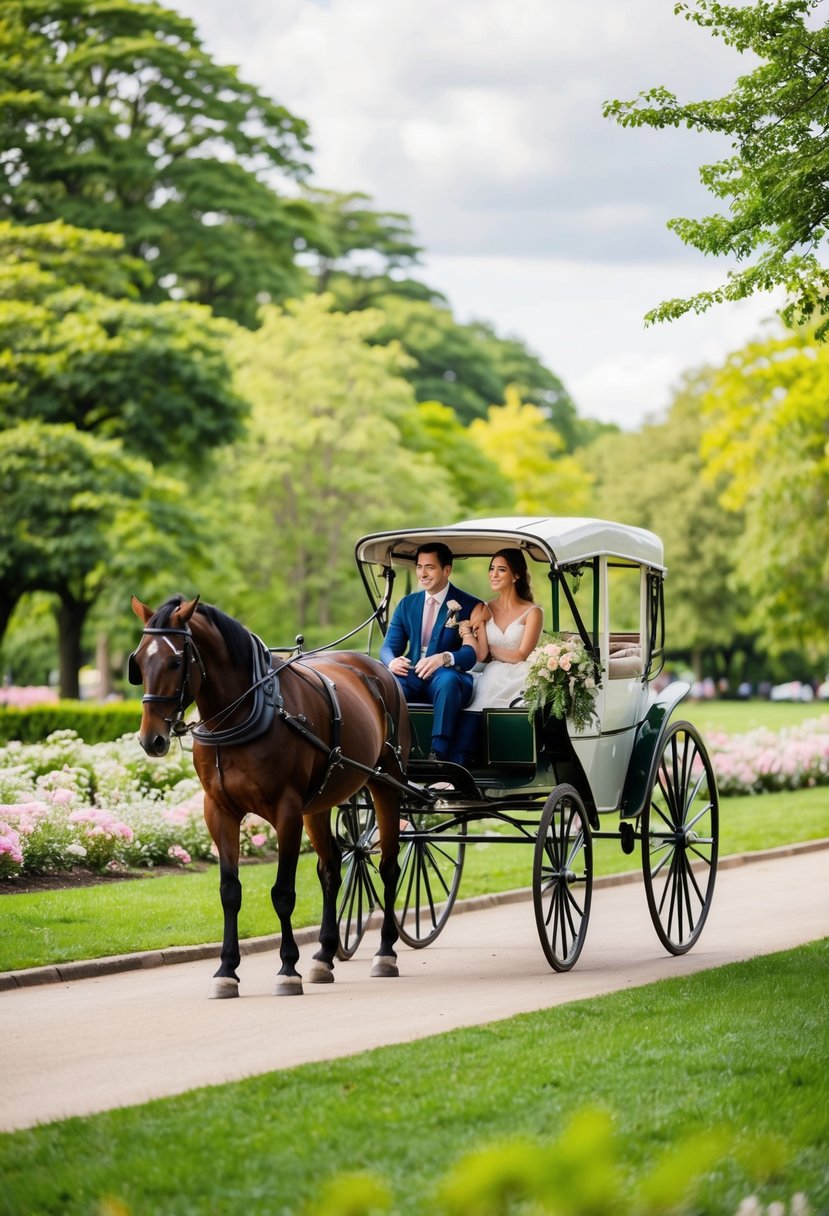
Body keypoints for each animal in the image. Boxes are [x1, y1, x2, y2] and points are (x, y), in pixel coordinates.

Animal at [128, 590, 410, 997]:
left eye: (176, 661)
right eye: (138, 661)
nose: (151, 739)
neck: (243, 713)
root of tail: (377, 669)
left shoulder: (286, 812)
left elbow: (283, 893)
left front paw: (287, 968)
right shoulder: (219, 811)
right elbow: (230, 891)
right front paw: (226, 970)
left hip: (386, 782)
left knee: (389, 867)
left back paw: (386, 952)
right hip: (319, 802)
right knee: (332, 869)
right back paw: (325, 955)